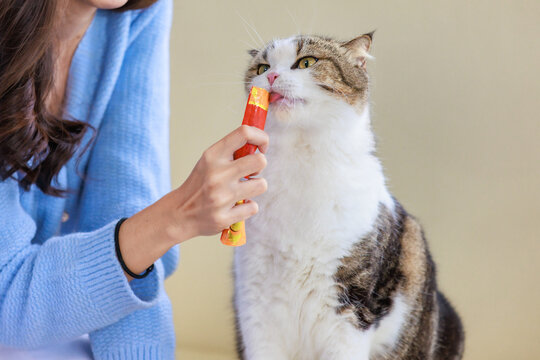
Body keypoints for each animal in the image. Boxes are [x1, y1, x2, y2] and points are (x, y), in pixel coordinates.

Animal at [232, 31, 464, 360]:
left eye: (307, 62)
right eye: (262, 67)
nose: (272, 76)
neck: (300, 162)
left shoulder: (350, 310)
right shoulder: (255, 304)